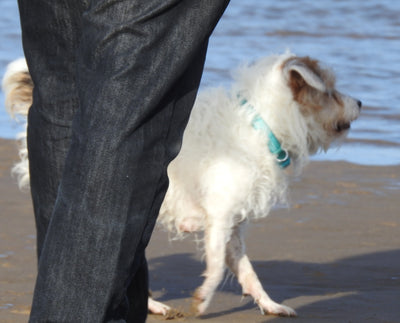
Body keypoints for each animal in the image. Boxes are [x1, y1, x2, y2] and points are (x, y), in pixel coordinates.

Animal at [1, 52, 360, 318]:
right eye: (331, 91)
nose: (359, 102)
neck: (262, 125)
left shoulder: (232, 227)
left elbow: (247, 271)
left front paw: (269, 304)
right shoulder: (219, 217)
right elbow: (215, 266)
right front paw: (203, 299)